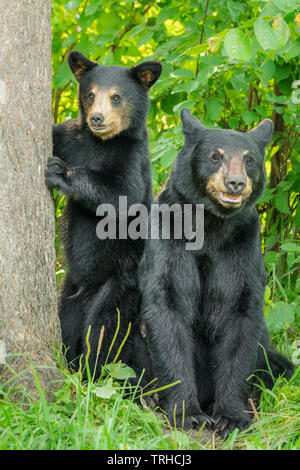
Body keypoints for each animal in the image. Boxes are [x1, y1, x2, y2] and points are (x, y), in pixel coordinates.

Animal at [45, 50, 162, 378]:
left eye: (116, 97)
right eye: (90, 94)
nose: (97, 118)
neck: (101, 142)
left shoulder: (133, 159)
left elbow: (121, 196)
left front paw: (61, 173)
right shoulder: (70, 137)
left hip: (122, 283)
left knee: (105, 329)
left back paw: (92, 372)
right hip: (70, 287)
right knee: (68, 322)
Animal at [139, 109, 294, 436]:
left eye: (250, 159)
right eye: (215, 156)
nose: (235, 183)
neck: (211, 225)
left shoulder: (242, 244)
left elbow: (239, 315)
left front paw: (231, 416)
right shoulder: (168, 233)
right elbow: (168, 306)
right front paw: (187, 414)